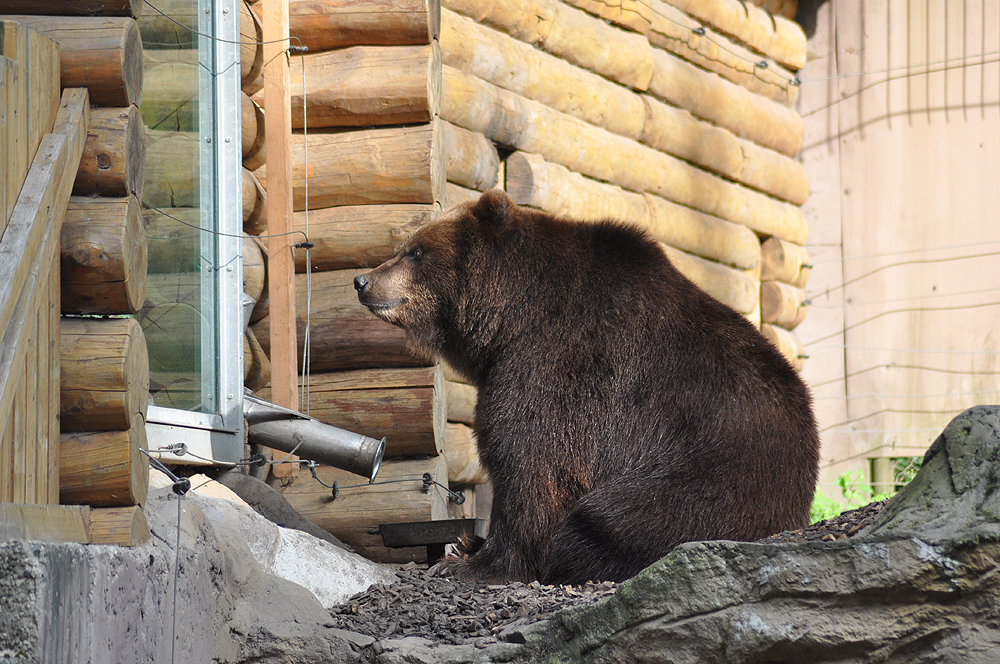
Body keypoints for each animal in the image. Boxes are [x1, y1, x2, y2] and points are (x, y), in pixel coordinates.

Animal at [354, 189, 820, 584]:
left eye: (415, 251)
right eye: (404, 247)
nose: (363, 281)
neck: (513, 317)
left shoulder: (561, 363)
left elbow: (533, 460)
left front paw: (477, 563)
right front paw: (469, 544)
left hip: (708, 468)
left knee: (617, 516)